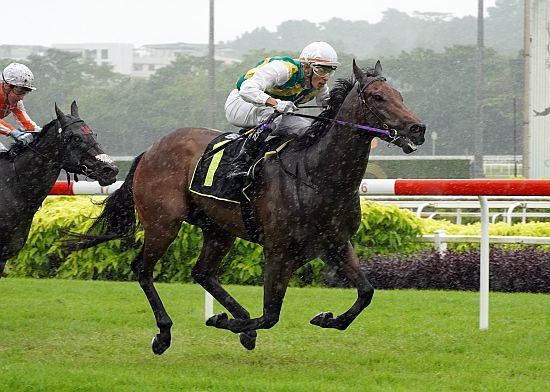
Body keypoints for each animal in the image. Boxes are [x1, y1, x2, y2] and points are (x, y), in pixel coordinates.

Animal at [64, 60, 426, 352]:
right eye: (378, 97)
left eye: (401, 96)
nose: (417, 129)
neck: (317, 175)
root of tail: (151, 149)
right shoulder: (279, 251)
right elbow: (270, 315)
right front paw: (225, 323)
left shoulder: (336, 243)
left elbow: (366, 291)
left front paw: (327, 318)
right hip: (163, 223)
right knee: (143, 268)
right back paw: (165, 334)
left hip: (218, 228)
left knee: (203, 272)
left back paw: (235, 320)